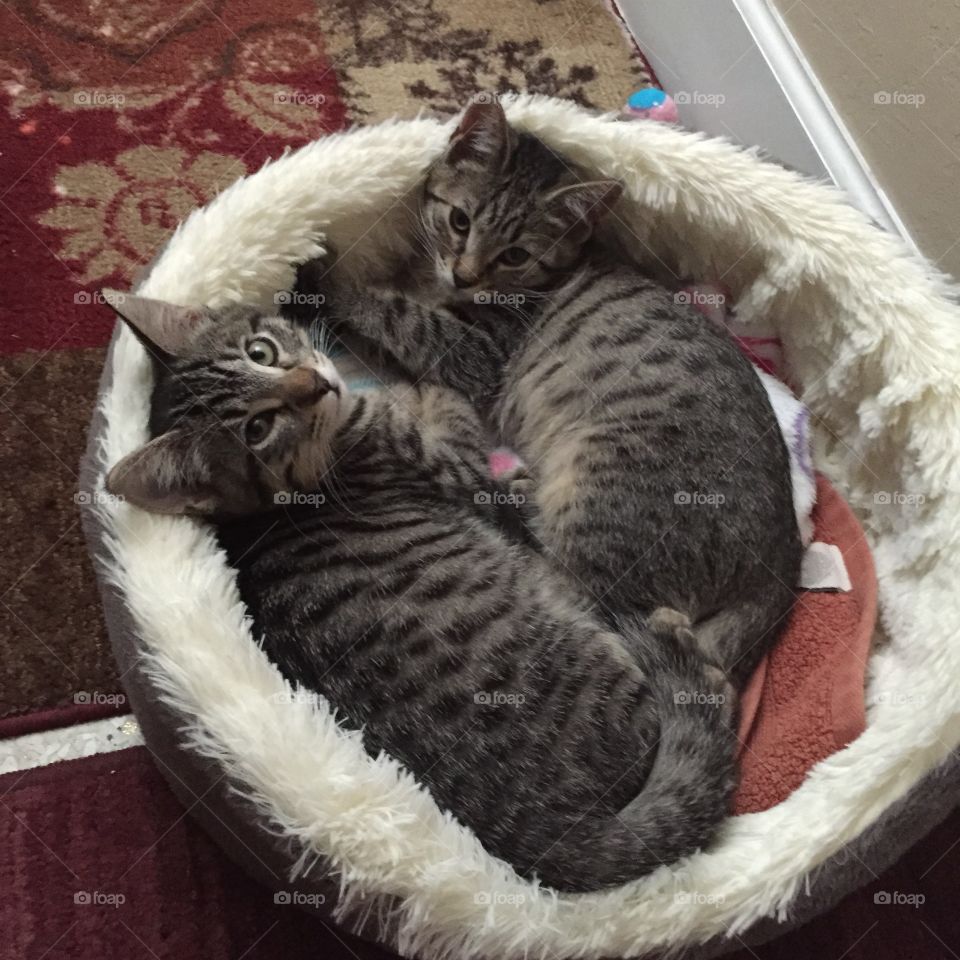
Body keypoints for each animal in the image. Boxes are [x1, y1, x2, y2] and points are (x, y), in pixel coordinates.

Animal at [105, 292, 736, 892]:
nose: (317, 382)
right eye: (257, 430)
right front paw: (427, 378)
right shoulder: (450, 463)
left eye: (261, 351)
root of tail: (547, 841)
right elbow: (449, 402)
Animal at [310, 99, 804, 688]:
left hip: (600, 476)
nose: (464, 275)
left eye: (516, 255)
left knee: (574, 594)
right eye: (460, 221)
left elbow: (397, 315)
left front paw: (330, 281)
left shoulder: (476, 352)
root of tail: (782, 567)